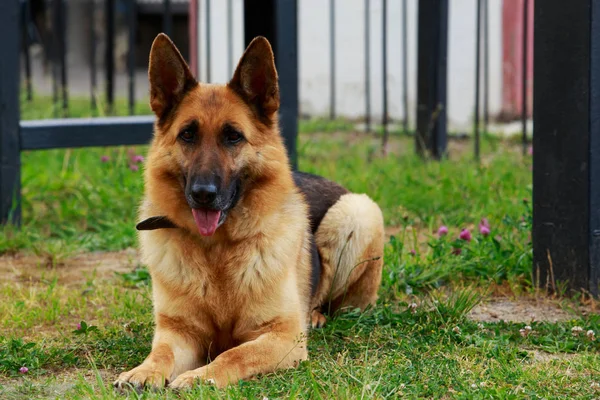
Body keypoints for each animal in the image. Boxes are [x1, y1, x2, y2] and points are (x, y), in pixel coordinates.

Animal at [112, 32, 384, 390]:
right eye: (187, 134)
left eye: (233, 136)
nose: (203, 194)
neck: (216, 249)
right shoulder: (179, 332)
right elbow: (162, 353)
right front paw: (144, 370)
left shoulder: (283, 338)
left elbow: (235, 354)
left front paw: (201, 376)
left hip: (356, 212)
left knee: (335, 301)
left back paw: (314, 314)